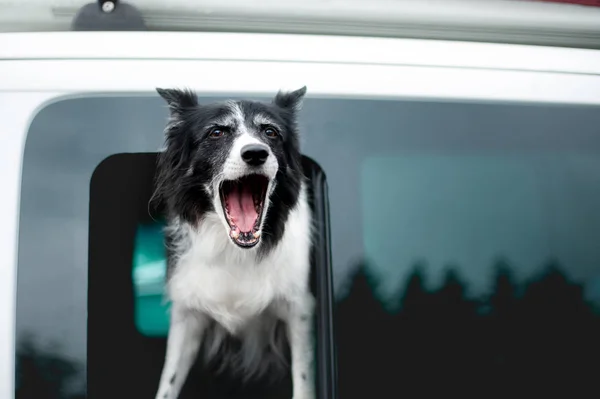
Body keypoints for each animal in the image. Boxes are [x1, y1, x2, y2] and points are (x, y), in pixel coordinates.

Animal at [152, 87, 316, 399]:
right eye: (217, 132)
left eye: (270, 132)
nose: (256, 153)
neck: (236, 250)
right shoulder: (187, 313)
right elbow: (168, 382)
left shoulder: (298, 310)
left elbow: (303, 379)